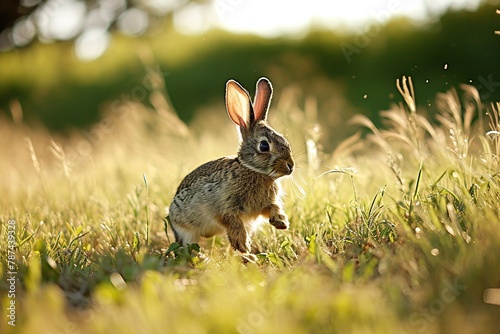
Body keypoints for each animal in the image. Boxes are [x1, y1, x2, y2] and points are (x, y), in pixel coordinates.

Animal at [168, 77, 292, 258]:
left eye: (284, 139)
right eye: (264, 146)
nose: (291, 166)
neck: (252, 170)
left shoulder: (265, 205)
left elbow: (273, 207)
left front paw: (281, 222)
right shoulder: (222, 207)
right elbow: (230, 220)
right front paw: (242, 242)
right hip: (186, 229)